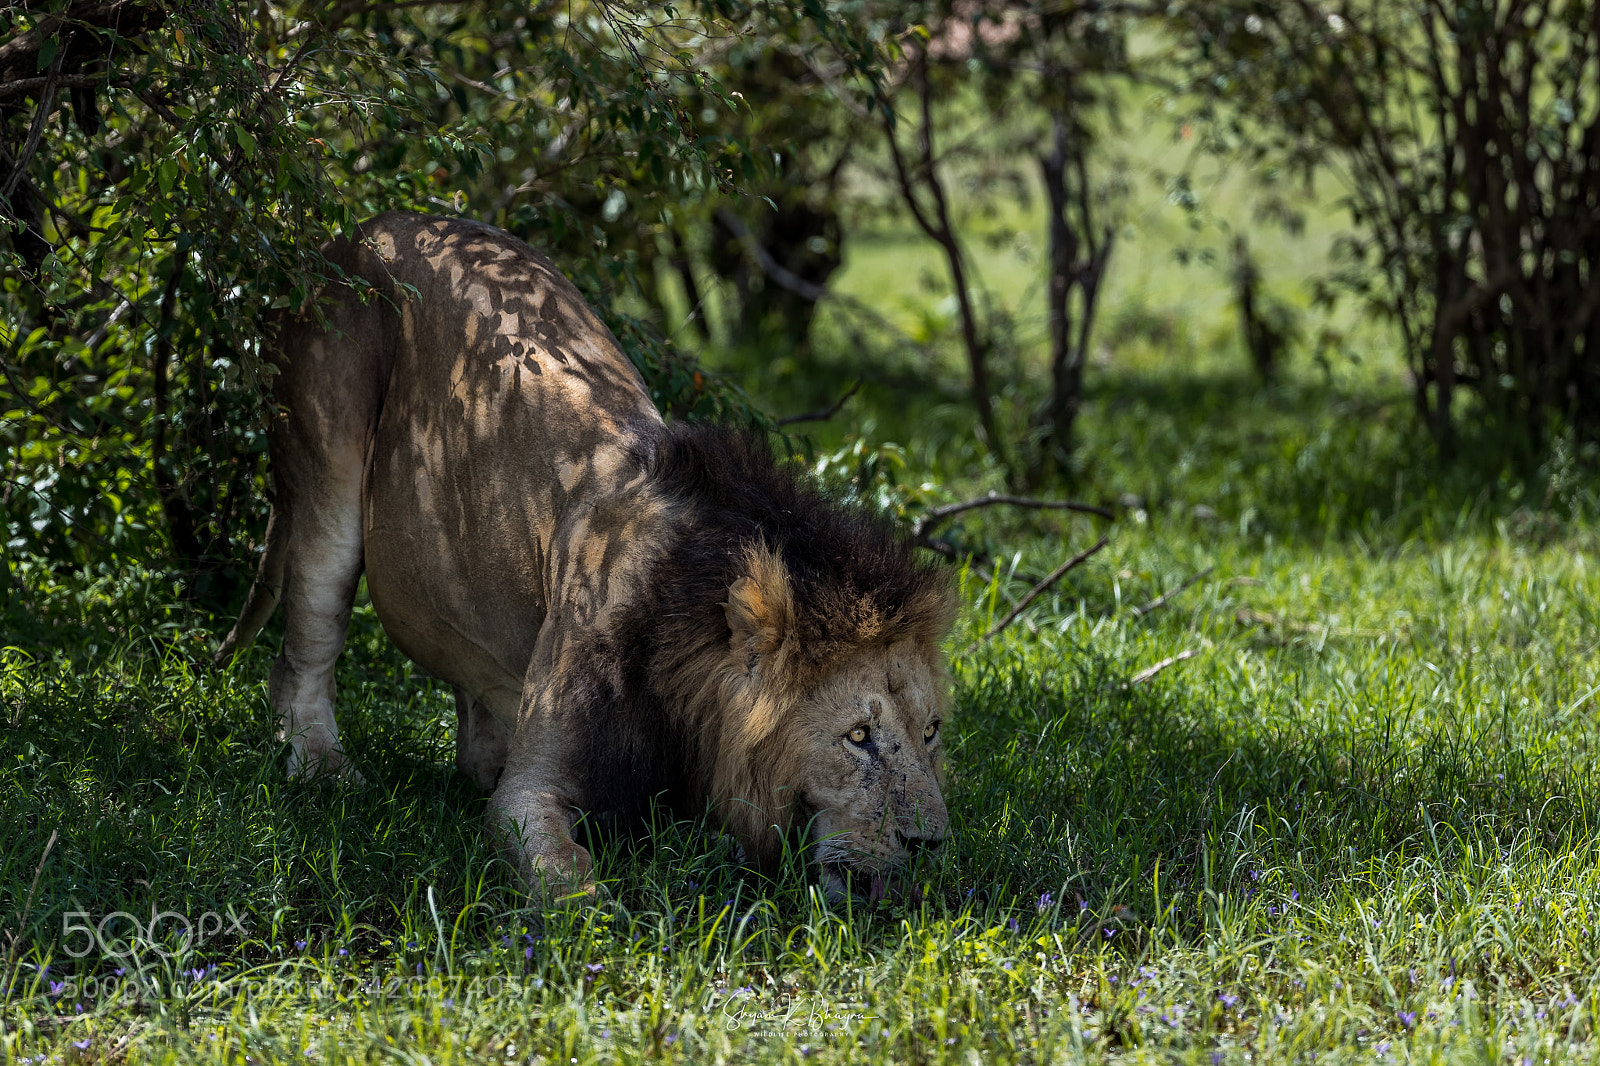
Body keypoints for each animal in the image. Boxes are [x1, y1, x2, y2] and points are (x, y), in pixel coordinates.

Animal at [217, 212, 957, 901]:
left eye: (931, 732)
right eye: (857, 736)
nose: (931, 844)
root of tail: (359, 229)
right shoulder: (529, 794)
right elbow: (567, 877)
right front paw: (598, 927)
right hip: (325, 481)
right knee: (300, 655)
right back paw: (323, 767)